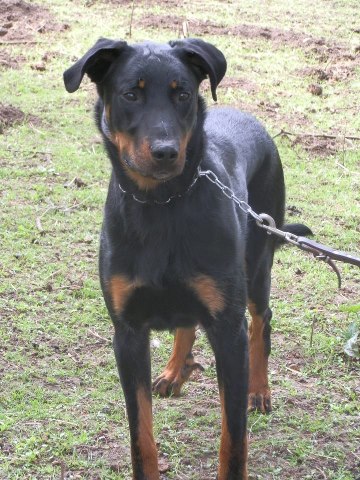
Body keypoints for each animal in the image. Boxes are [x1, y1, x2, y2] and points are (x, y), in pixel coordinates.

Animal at [63, 38, 310, 480]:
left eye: (182, 95)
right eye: (130, 94)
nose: (166, 152)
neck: (161, 204)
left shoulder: (228, 331)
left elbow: (234, 439)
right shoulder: (127, 333)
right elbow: (140, 435)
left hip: (257, 264)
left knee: (261, 321)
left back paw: (259, 390)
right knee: (187, 322)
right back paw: (175, 370)